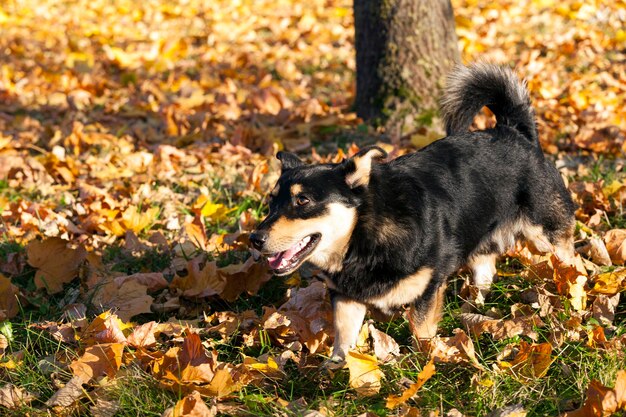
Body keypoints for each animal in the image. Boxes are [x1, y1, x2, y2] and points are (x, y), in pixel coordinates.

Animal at [249, 63, 576, 362]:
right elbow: (344, 336)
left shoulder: (428, 287)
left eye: (303, 200)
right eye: (271, 202)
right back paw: (475, 308)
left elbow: (420, 330)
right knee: (485, 269)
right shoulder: (346, 296)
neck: (364, 234)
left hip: (547, 231)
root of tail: (514, 132)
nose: (254, 239)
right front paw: (342, 370)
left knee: (571, 261)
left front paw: (427, 363)